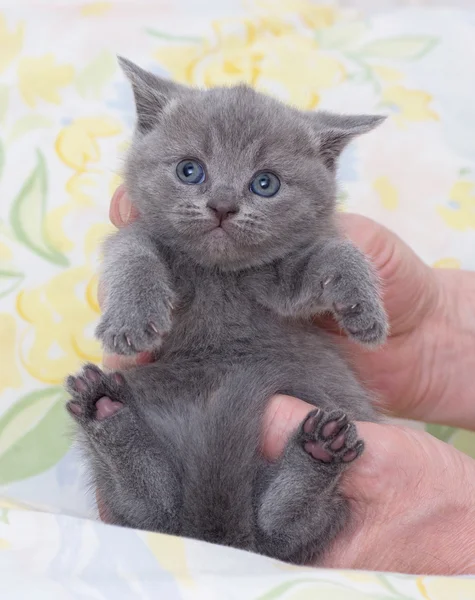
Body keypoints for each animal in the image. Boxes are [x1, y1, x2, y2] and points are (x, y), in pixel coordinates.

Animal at [66, 58, 386, 564]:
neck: (220, 277)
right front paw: (131, 320)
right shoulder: (139, 236)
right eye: (189, 170)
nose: (222, 204)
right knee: (149, 510)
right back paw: (103, 407)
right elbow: (131, 253)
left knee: (282, 532)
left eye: (265, 183)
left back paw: (321, 449)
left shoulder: (282, 280)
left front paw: (364, 309)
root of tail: (213, 535)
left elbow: (335, 252)